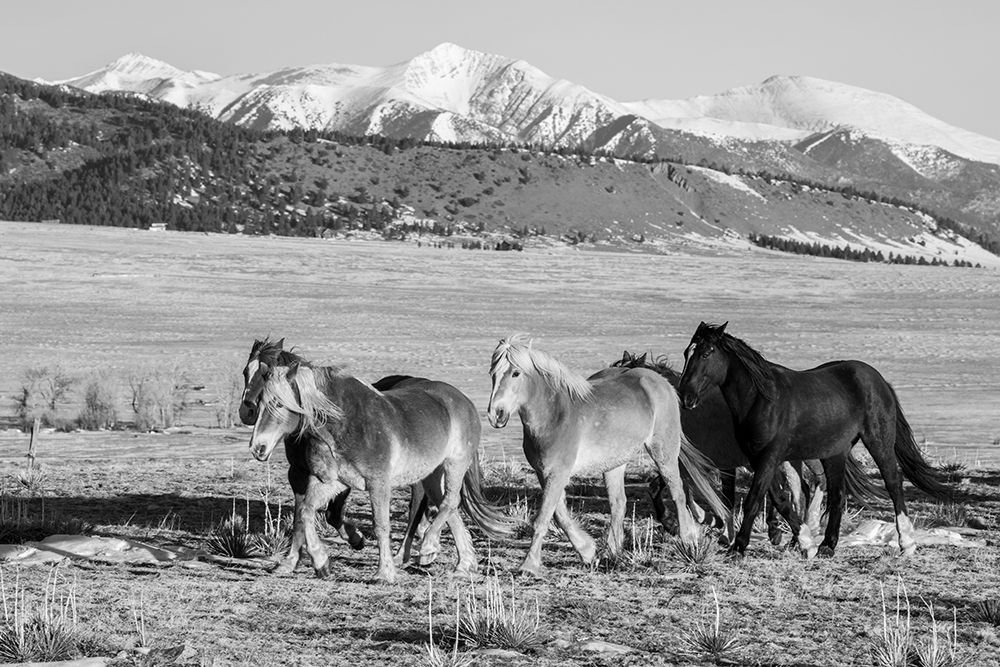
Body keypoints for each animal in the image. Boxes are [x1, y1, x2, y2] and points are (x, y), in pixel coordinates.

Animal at [248, 352, 508, 580]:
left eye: (279, 404)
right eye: (259, 403)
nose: (257, 447)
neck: (347, 423)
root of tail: (464, 401)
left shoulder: (378, 484)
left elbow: (381, 525)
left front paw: (384, 573)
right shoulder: (335, 482)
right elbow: (305, 512)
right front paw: (321, 563)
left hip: (454, 464)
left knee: (450, 502)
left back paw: (427, 546)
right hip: (431, 474)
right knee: (450, 508)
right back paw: (463, 564)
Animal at [486, 336, 728, 576]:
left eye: (516, 373)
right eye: (493, 374)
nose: (495, 414)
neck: (555, 415)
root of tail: (661, 381)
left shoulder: (558, 474)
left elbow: (543, 518)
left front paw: (528, 565)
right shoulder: (545, 473)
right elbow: (560, 515)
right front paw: (587, 551)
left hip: (664, 452)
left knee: (677, 492)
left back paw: (689, 540)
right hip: (614, 463)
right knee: (618, 503)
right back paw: (611, 553)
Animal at [676, 324, 948, 560]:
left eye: (707, 353)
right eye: (687, 352)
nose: (685, 397)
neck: (762, 400)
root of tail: (879, 381)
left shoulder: (769, 458)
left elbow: (755, 499)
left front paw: (738, 548)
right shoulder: (759, 459)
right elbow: (781, 500)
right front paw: (806, 544)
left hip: (878, 442)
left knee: (893, 482)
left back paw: (906, 543)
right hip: (834, 453)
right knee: (838, 494)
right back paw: (828, 545)